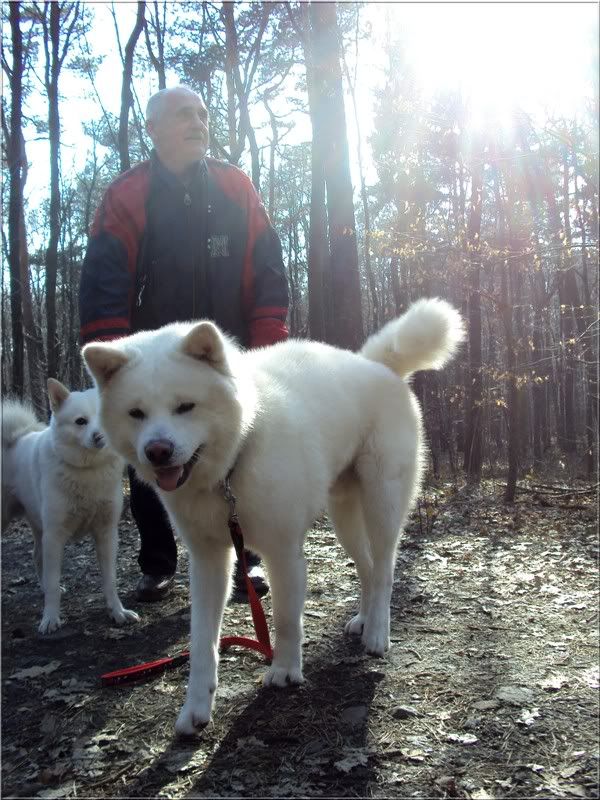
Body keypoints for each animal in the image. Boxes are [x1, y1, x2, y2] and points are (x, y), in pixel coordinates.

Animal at [1, 379, 139, 634]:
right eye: (80, 421)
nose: (100, 436)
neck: (88, 470)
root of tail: (14, 438)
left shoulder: (106, 534)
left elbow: (110, 581)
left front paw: (117, 612)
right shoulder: (55, 536)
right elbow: (54, 584)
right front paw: (50, 618)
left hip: (39, 527)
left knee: (36, 555)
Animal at [83, 298, 464, 735]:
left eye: (185, 406)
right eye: (136, 413)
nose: (157, 451)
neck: (234, 462)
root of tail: (378, 365)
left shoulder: (284, 553)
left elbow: (284, 618)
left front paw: (284, 669)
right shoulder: (208, 560)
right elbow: (202, 642)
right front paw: (195, 707)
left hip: (382, 505)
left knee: (383, 571)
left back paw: (377, 634)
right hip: (344, 516)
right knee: (367, 569)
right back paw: (364, 620)